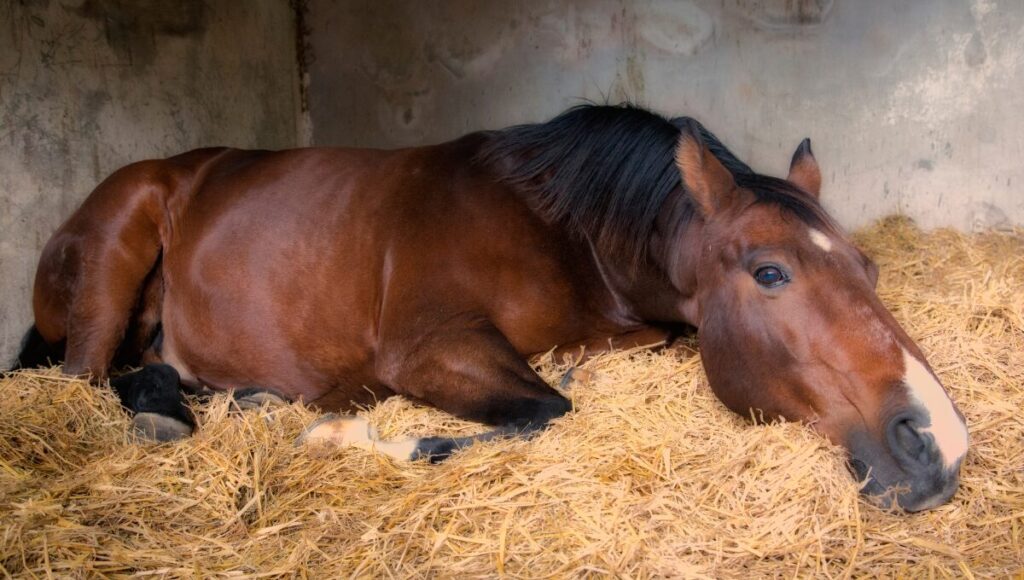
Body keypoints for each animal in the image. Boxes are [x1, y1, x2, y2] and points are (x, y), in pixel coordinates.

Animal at [11, 105, 968, 511]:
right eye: (770, 273)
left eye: (868, 267)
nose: (941, 444)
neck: (558, 226)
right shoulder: (431, 348)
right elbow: (546, 411)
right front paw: (348, 436)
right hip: (112, 265)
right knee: (86, 378)